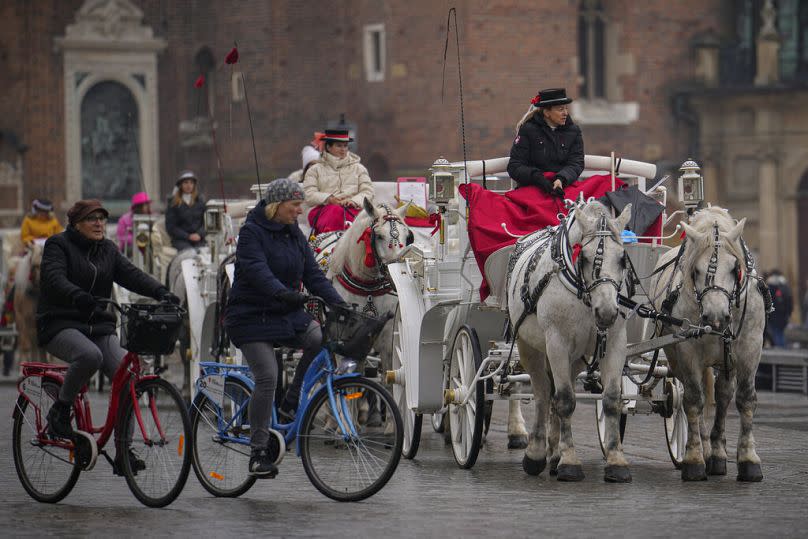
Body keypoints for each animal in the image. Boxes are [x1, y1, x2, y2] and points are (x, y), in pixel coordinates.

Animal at [504, 200, 632, 484]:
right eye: (583, 258)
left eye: (622, 259)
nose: (607, 312)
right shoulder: (557, 343)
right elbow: (564, 401)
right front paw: (570, 461)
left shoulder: (615, 342)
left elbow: (611, 399)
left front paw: (616, 461)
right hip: (530, 347)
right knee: (543, 394)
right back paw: (537, 453)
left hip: (575, 358)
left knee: (556, 392)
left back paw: (554, 454)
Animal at [648, 206, 768, 480]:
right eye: (695, 271)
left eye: (735, 268)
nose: (715, 317)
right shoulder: (687, 352)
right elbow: (693, 400)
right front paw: (693, 459)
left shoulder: (750, 347)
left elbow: (745, 399)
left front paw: (748, 459)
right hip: (677, 357)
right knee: (694, 396)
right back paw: (704, 450)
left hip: (725, 360)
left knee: (722, 396)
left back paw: (717, 453)